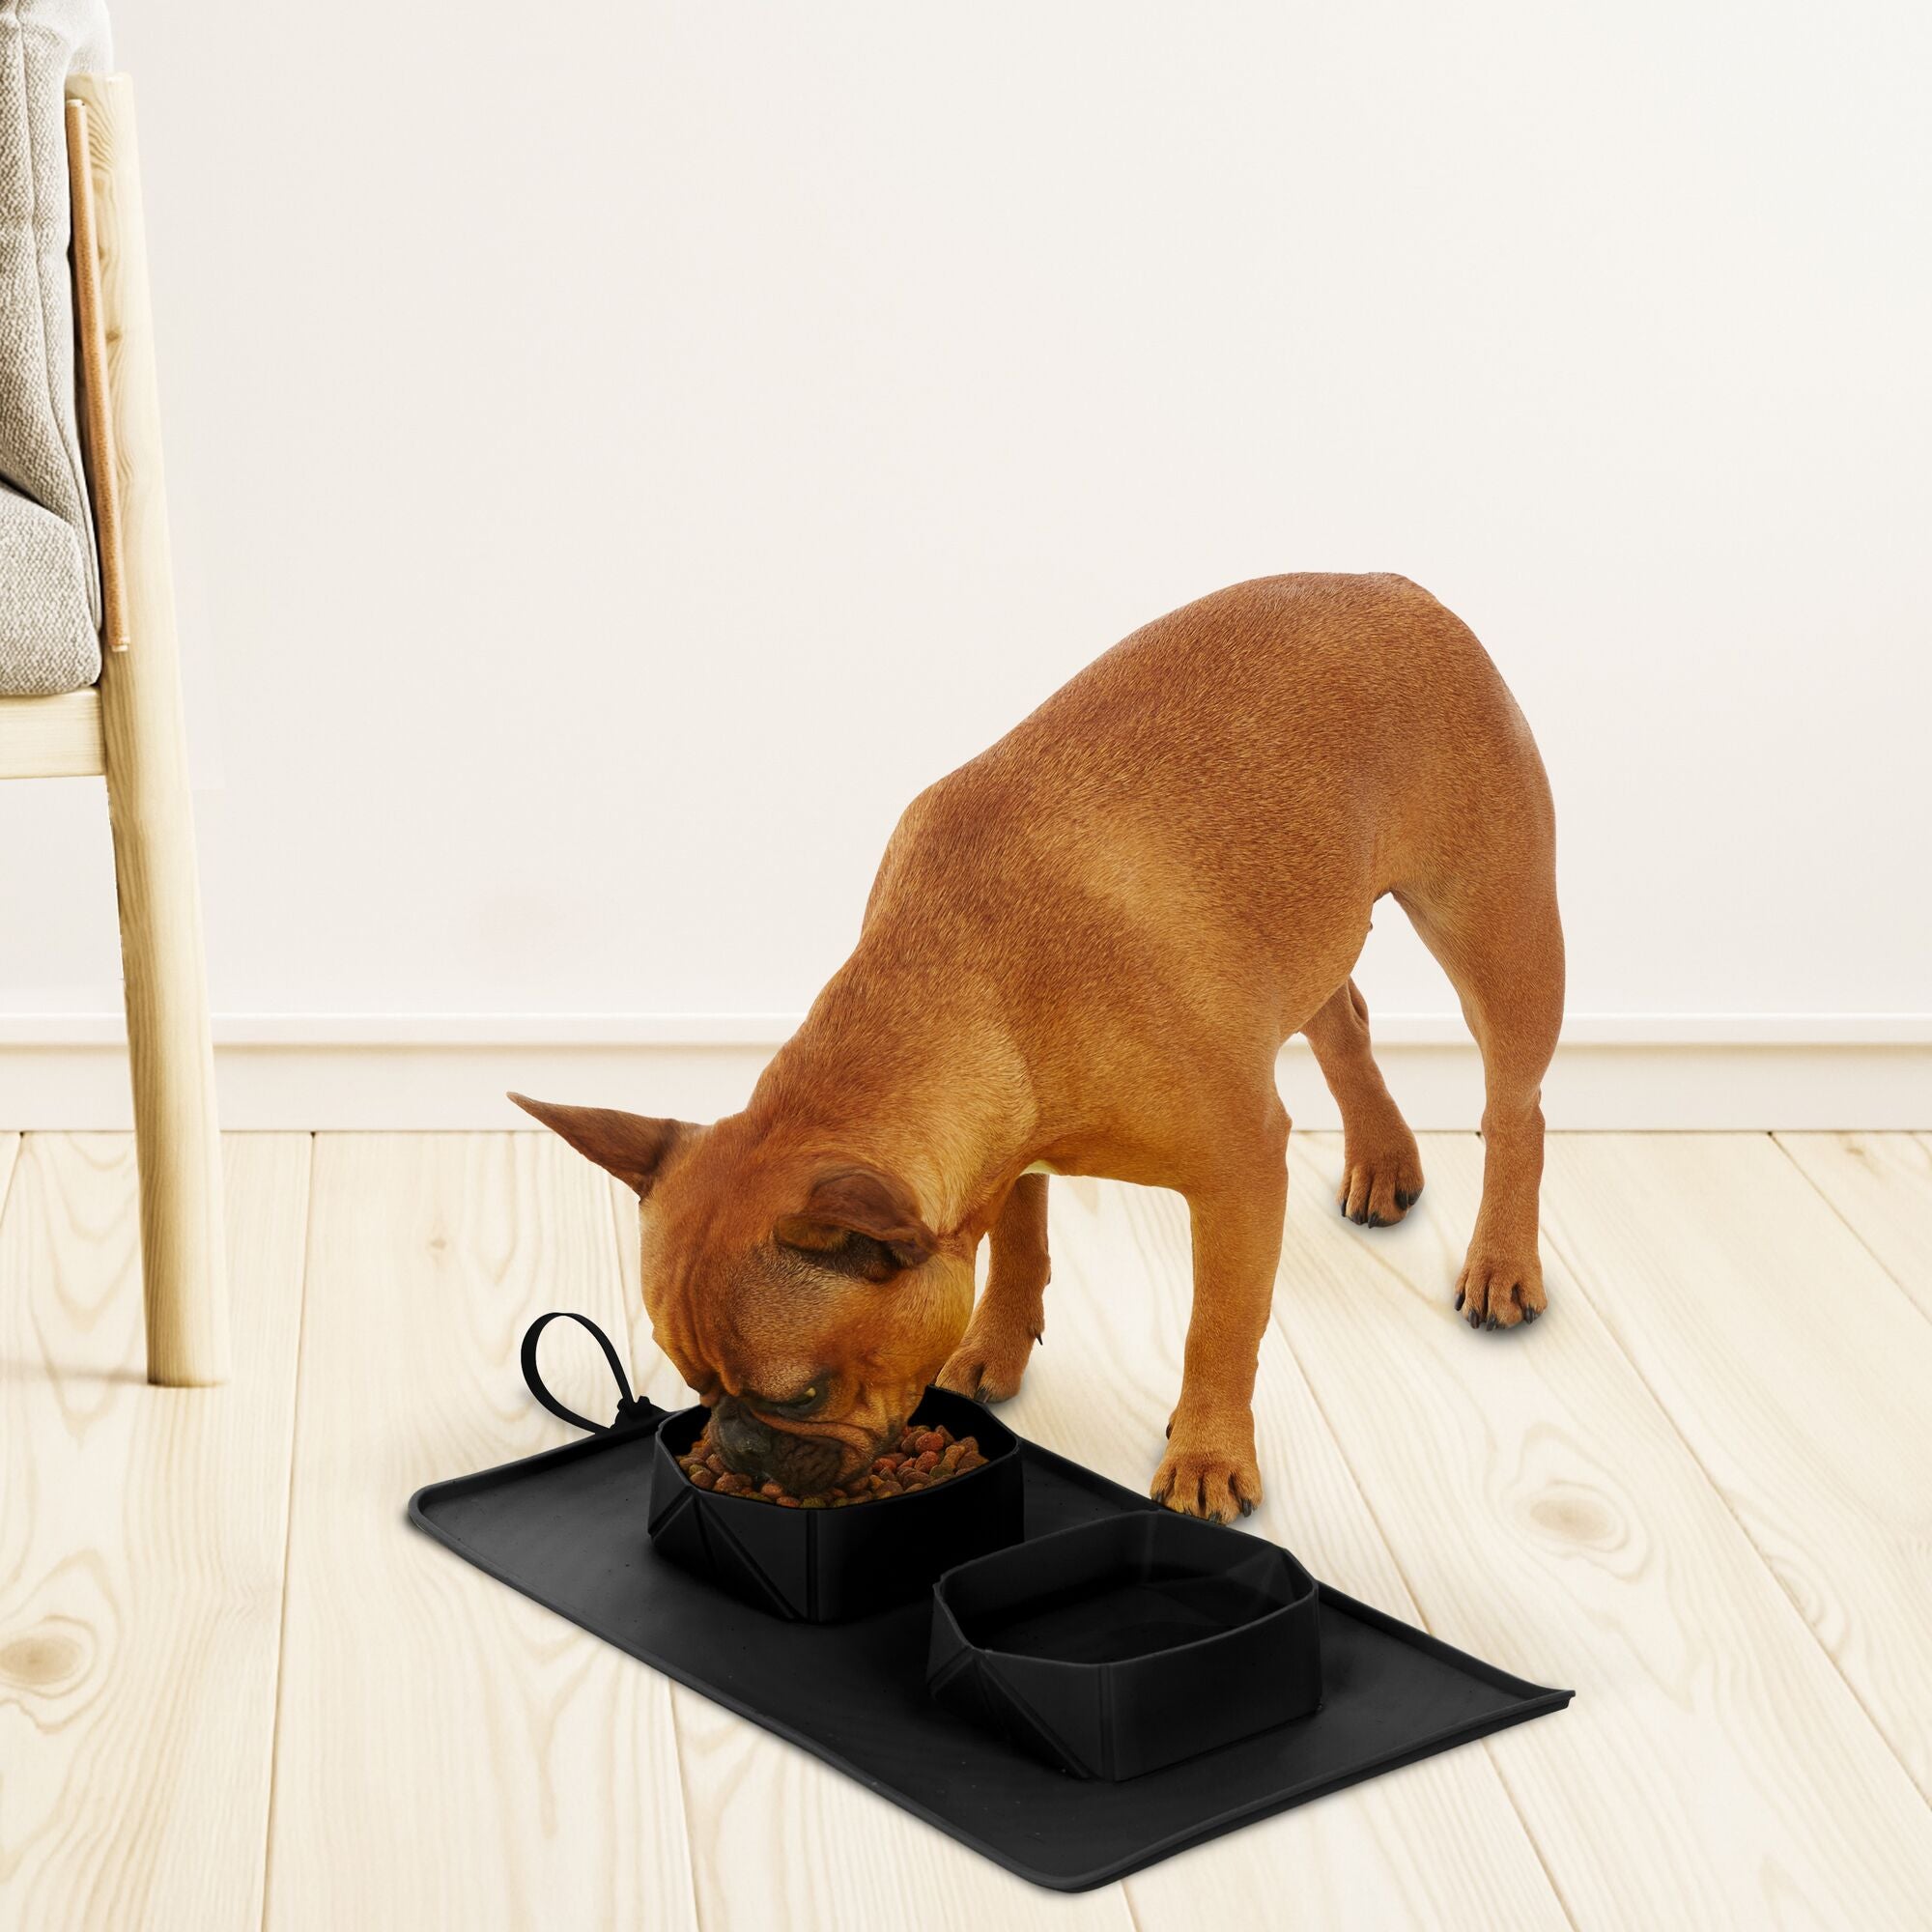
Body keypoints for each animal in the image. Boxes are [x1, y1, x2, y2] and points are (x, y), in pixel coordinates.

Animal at [518, 572, 1569, 1522]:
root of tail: (1399, 588)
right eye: (693, 1381)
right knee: (1343, 1020)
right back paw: (1383, 1159)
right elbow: (1018, 1243)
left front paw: (1205, 1455)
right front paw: (992, 1347)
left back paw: (1500, 1263)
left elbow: (1218, 1327)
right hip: (1311, 928)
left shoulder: (1237, 1171)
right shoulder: (1000, 1155)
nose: (737, 1443)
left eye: (799, 1394)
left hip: (1495, 928)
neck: (966, 978)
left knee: (1514, 1107)